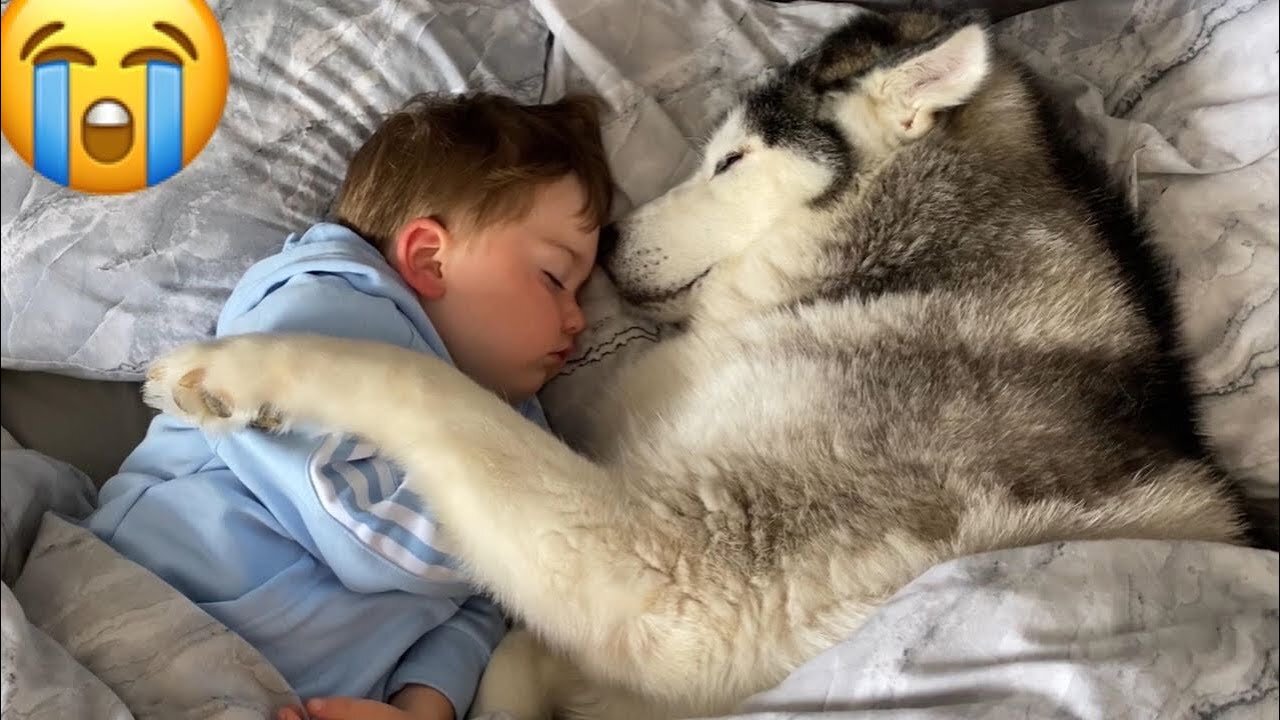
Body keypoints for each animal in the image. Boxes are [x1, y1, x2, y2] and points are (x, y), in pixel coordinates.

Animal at [140, 9, 1249, 717]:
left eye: (733, 160)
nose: (609, 237)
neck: (890, 272)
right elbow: (513, 655)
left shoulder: (680, 576)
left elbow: (423, 385)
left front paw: (241, 371)